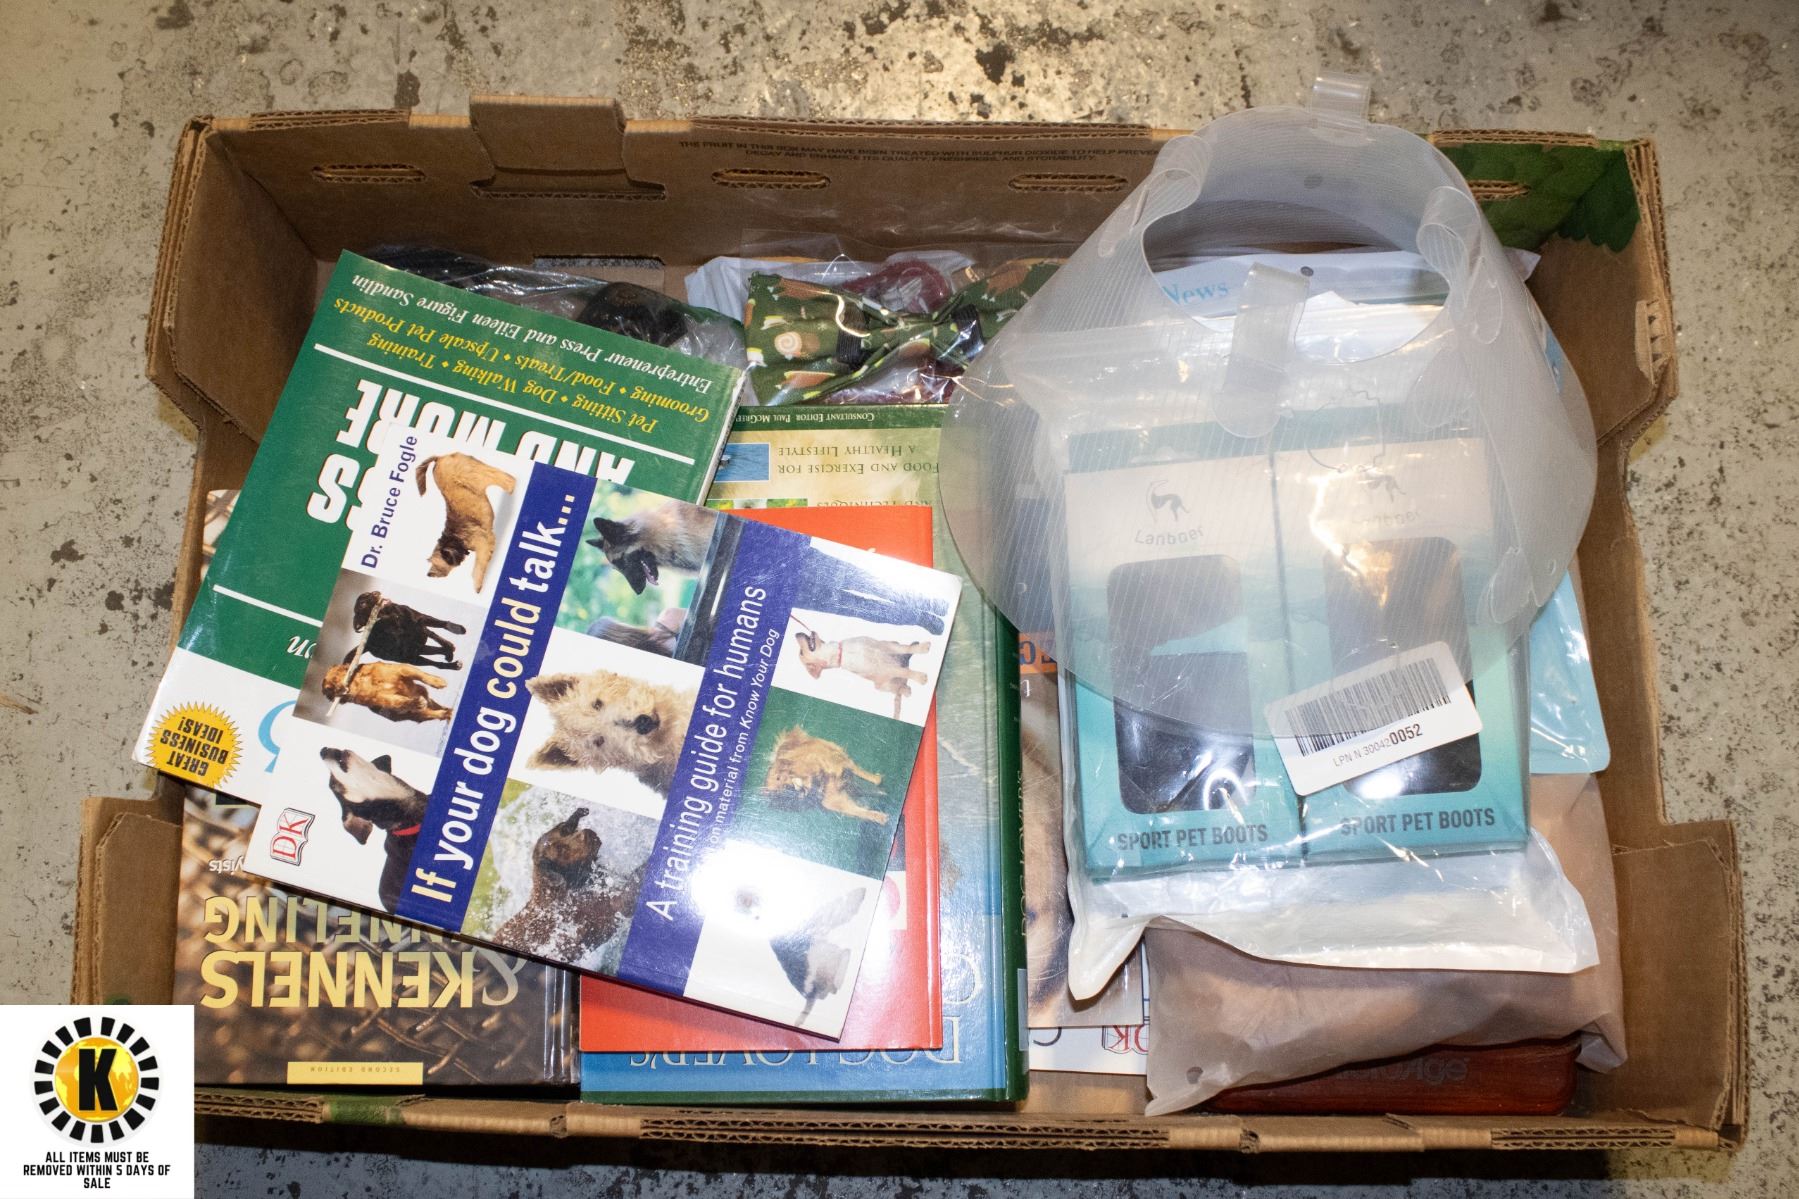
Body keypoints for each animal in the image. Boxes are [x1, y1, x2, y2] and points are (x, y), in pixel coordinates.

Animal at [322, 661, 453, 723]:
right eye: (330, 692)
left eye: (335, 678)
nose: (334, 692)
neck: (364, 682)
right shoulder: (383, 700)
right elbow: (399, 702)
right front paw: (415, 703)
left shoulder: (402, 669)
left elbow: (420, 675)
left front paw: (438, 682)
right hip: (416, 714)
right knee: (434, 713)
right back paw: (446, 713)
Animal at [416, 453, 516, 592]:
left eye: (436, 563)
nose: (429, 574)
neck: (455, 538)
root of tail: (440, 458)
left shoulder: (483, 543)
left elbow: (478, 568)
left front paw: (477, 587)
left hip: (470, 474)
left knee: (491, 474)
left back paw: (511, 485)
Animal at [794, 630, 931, 718]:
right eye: (801, 652)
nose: (796, 633)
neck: (841, 652)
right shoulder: (884, 668)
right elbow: (903, 671)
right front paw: (921, 677)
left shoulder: (883, 645)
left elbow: (906, 649)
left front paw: (923, 648)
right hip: (881, 685)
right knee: (900, 686)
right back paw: (906, 689)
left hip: (892, 643)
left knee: (904, 655)